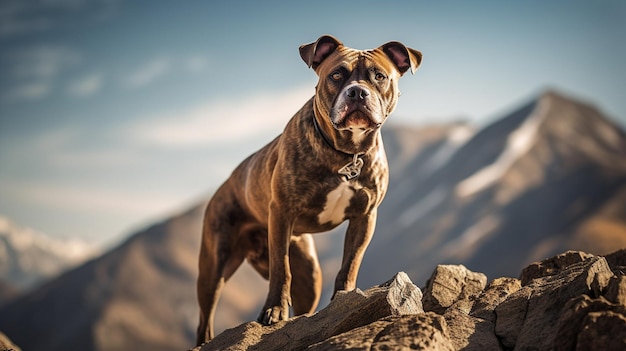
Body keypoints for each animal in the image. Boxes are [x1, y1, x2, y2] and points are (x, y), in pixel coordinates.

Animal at [195, 35, 420, 346]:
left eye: (379, 76)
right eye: (336, 75)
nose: (357, 93)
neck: (346, 151)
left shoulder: (364, 217)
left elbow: (349, 265)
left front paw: (343, 299)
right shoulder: (281, 214)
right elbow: (281, 269)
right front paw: (274, 310)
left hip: (310, 273)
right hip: (214, 265)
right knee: (205, 317)